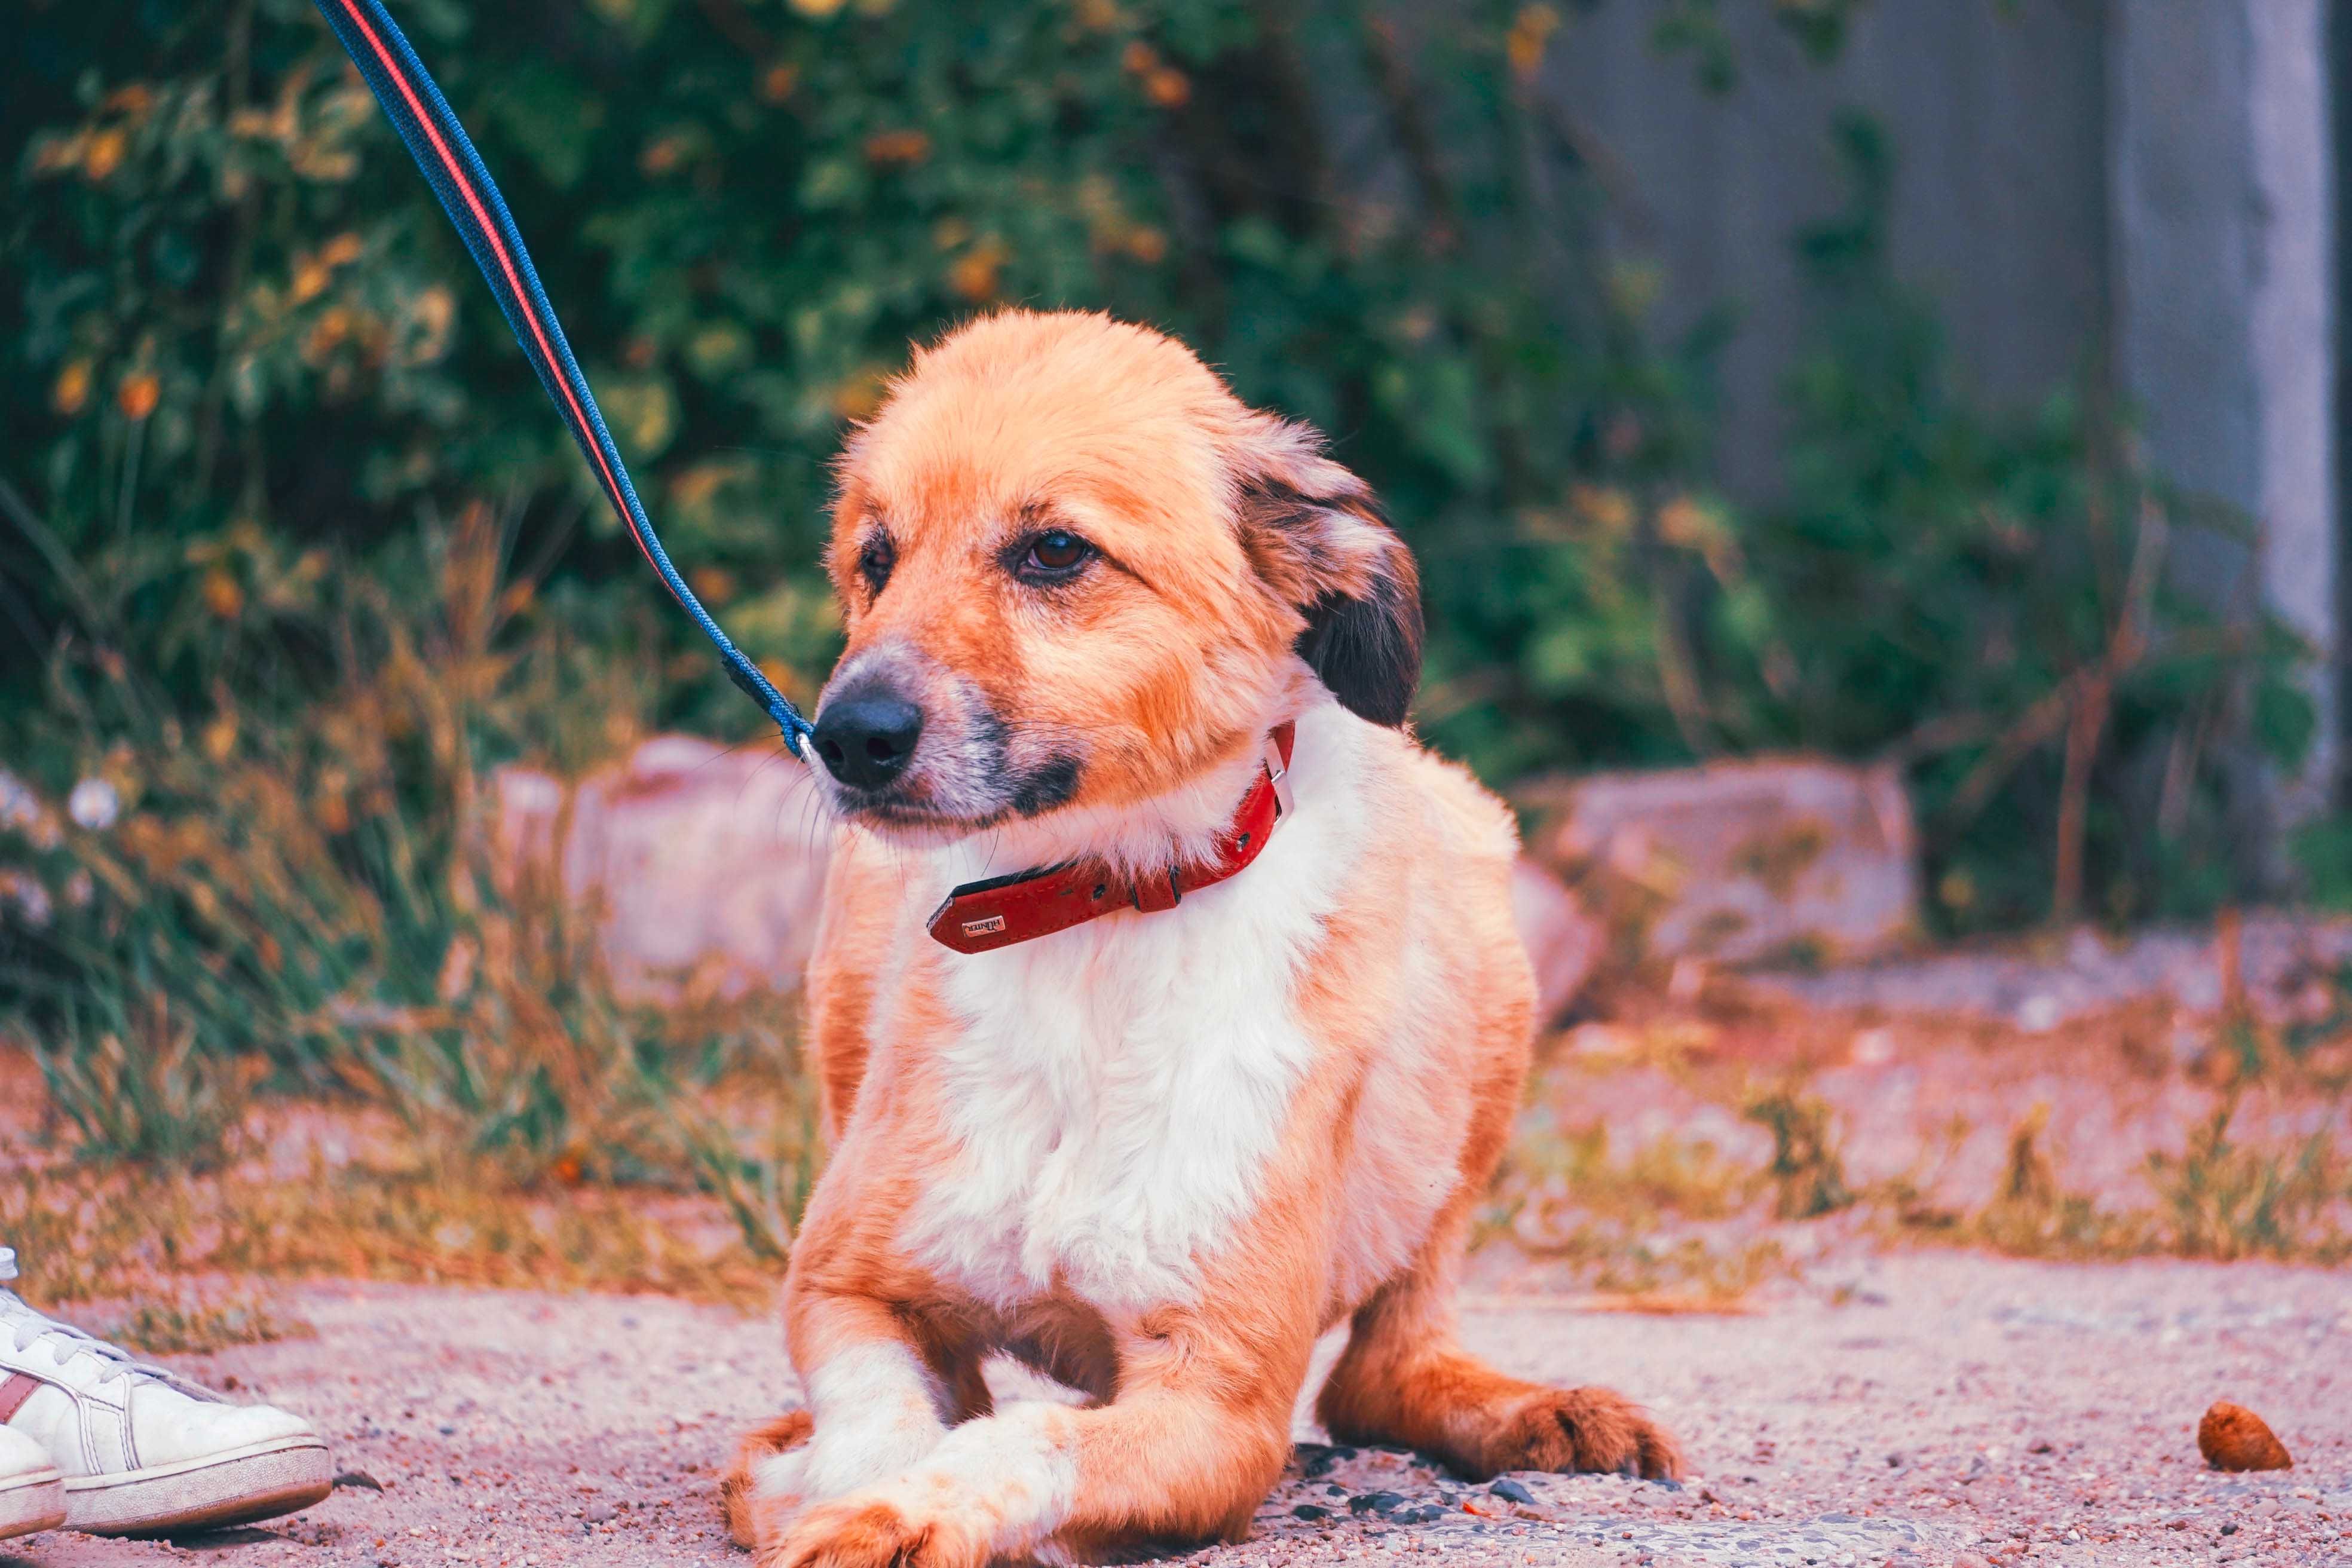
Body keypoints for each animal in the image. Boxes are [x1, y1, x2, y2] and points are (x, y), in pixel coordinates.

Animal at [715, 310, 1674, 1568]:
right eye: (875, 558)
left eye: (1055, 551)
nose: (845, 735)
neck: (1096, 905)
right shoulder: (842, 1287)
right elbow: (883, 1419)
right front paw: (821, 1481)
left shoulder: (1218, 1412)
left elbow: (1019, 1440)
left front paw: (896, 1511)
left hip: (1487, 962)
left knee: (1386, 1366)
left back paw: (1534, 1410)